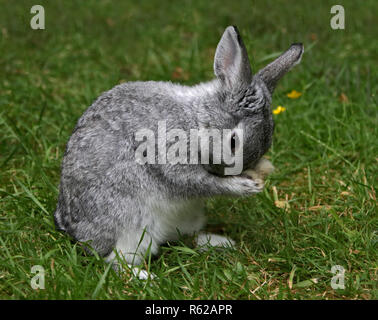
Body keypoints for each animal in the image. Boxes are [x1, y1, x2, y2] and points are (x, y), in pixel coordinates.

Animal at [53, 26, 302, 278]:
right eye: (233, 142)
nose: (241, 172)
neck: (196, 121)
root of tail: (75, 232)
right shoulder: (174, 162)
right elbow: (201, 183)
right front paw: (245, 187)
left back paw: (220, 243)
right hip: (131, 225)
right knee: (115, 260)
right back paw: (145, 277)